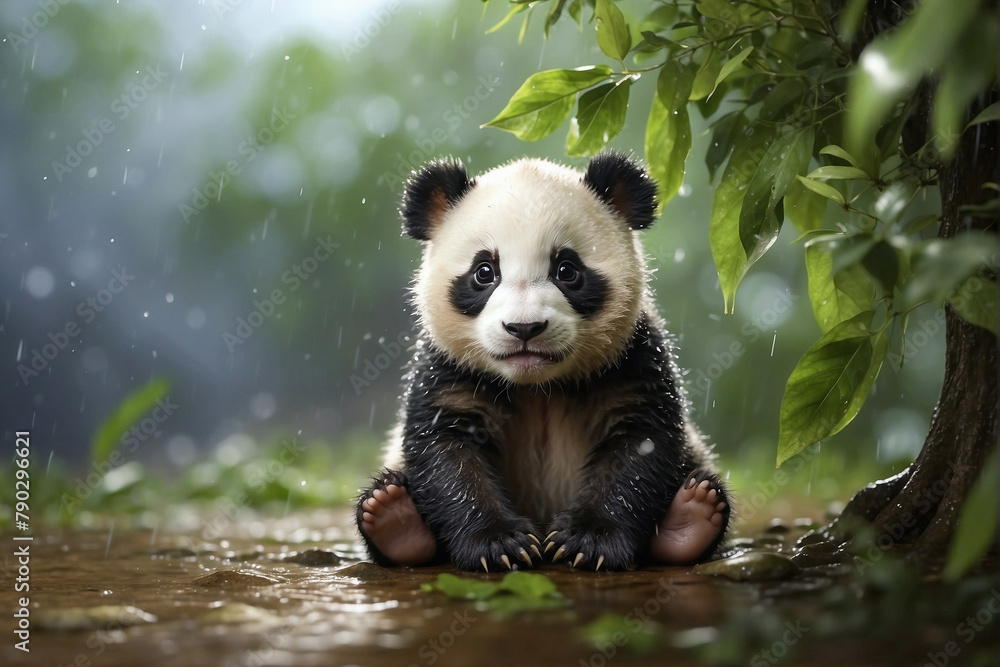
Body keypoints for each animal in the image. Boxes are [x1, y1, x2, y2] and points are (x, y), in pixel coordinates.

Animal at [356, 151, 730, 572]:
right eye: (484, 272)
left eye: (566, 270)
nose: (524, 328)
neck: (536, 385)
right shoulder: (450, 366)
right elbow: (447, 447)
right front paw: (499, 544)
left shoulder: (631, 356)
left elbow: (641, 439)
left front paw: (588, 540)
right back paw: (394, 518)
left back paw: (692, 517)